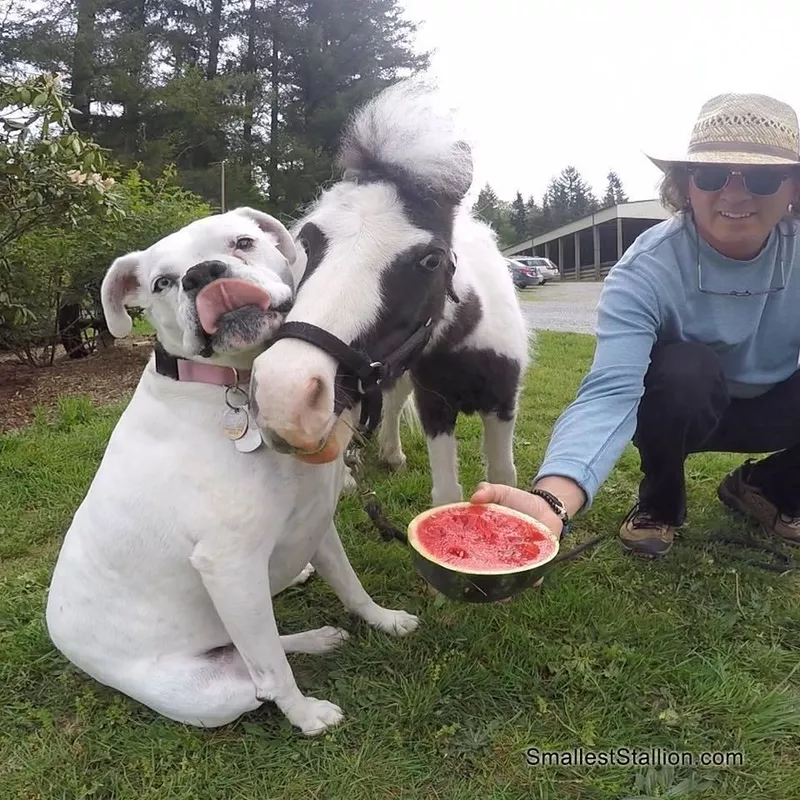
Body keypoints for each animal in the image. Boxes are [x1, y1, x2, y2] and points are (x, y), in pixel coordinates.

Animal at [45, 208, 418, 736]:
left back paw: (316, 632)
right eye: (162, 282)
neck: (236, 385)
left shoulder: (315, 525)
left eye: (242, 242)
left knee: (259, 644)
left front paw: (383, 619)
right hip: (218, 692)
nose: (202, 274)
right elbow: (273, 670)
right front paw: (306, 715)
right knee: (257, 672)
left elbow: (351, 586)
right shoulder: (230, 569)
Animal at [250, 83, 532, 506]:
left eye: (432, 260)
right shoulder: (435, 404)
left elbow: (504, 479)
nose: (281, 395)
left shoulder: (502, 403)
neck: (464, 338)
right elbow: (446, 494)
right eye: (309, 241)